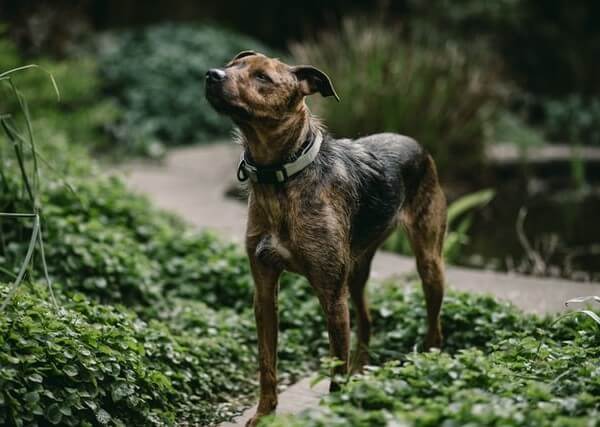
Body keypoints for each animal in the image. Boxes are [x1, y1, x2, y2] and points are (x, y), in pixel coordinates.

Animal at [205, 51, 446, 426]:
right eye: (231, 66)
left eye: (262, 78)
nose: (212, 75)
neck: (282, 179)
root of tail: (416, 142)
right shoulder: (264, 291)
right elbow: (267, 363)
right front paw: (264, 413)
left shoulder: (331, 295)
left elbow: (335, 371)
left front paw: (336, 410)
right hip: (357, 273)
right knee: (367, 320)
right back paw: (363, 372)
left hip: (428, 263)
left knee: (435, 326)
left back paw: (428, 366)